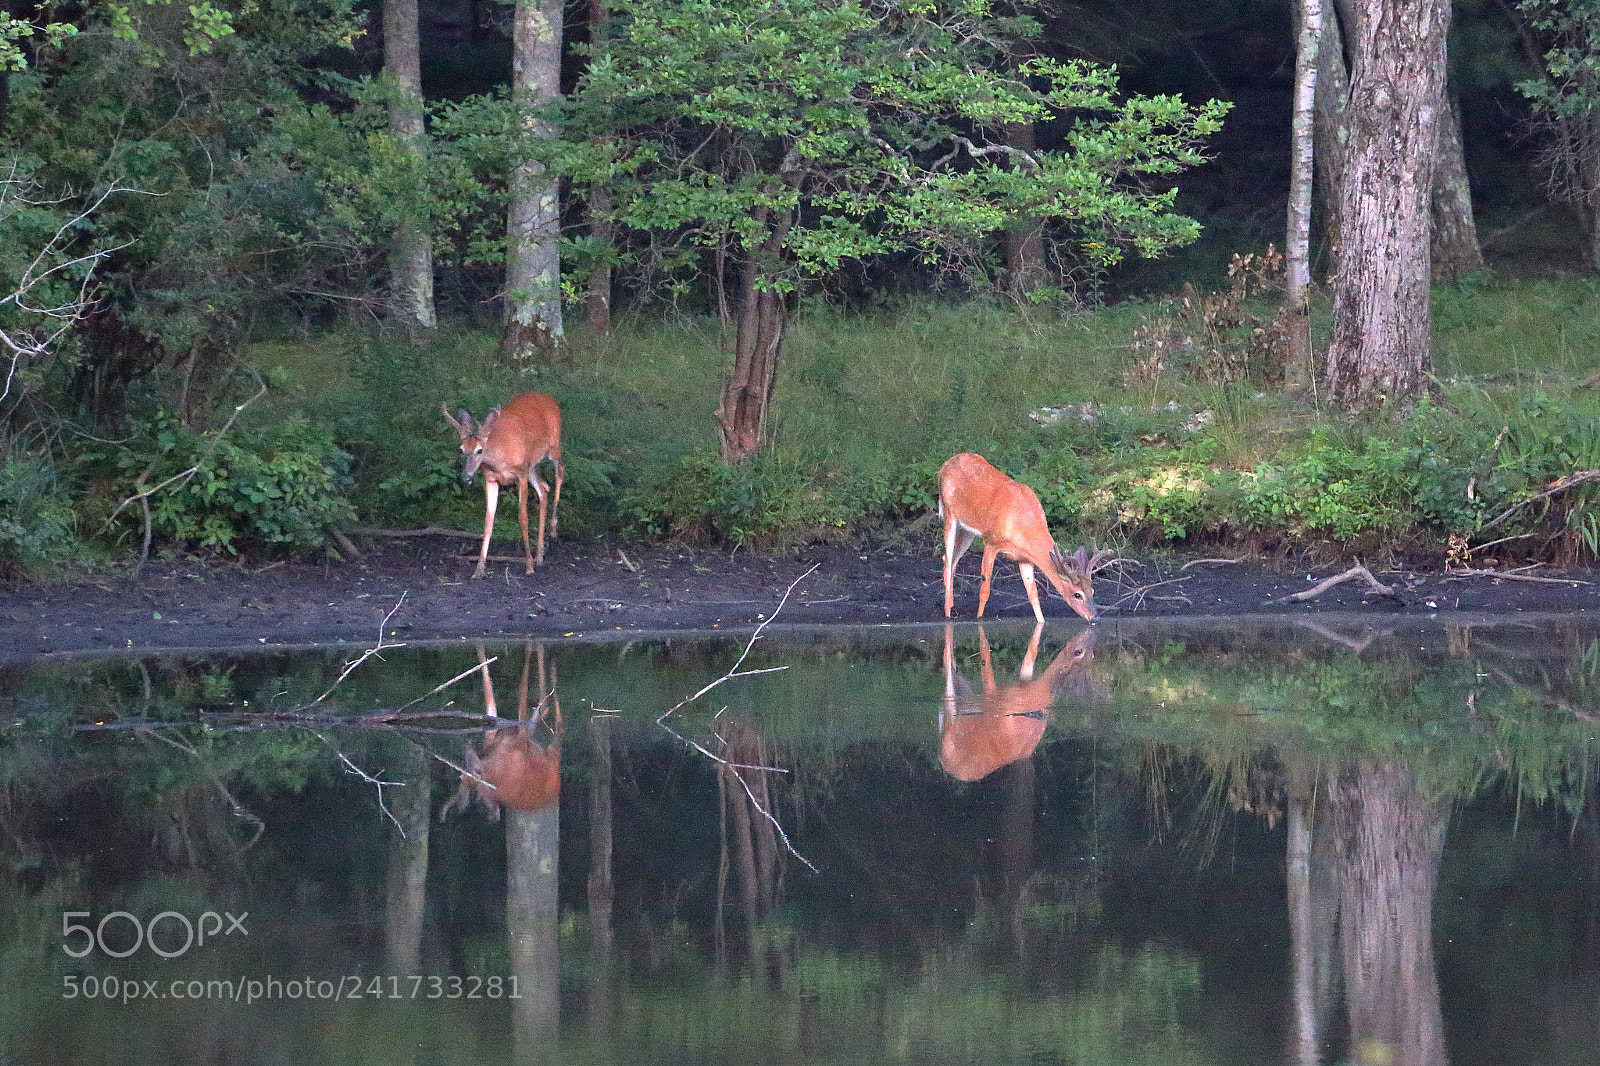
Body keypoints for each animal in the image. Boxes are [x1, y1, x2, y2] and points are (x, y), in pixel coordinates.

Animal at [442, 392, 564, 579]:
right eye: (461, 449)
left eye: (479, 450)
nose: (465, 478)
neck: (499, 459)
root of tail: (547, 396)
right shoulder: (491, 479)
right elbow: (488, 520)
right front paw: (479, 569)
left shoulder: (520, 474)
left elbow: (523, 517)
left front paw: (528, 566)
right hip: (531, 465)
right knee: (543, 490)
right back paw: (540, 555)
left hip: (553, 446)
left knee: (560, 471)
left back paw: (553, 530)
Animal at [938, 452, 1111, 624]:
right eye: (1077, 594)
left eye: (1092, 590)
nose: (1095, 617)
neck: (1023, 524)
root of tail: (945, 465)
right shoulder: (991, 542)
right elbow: (985, 589)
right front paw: (979, 618)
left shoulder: (1025, 558)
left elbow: (1033, 595)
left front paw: (1041, 622)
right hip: (949, 514)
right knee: (947, 562)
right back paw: (947, 614)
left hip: (967, 532)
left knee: (949, 560)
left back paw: (951, 607)